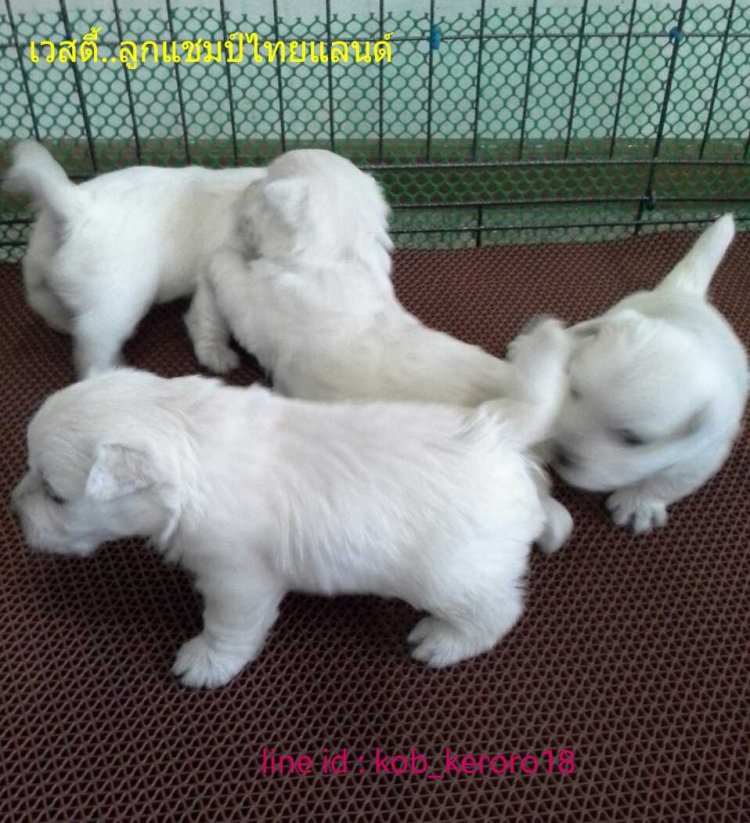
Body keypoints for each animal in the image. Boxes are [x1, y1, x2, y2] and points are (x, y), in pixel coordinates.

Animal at [5, 141, 265, 377]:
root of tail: (76, 209)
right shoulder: (217, 269)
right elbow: (211, 319)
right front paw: (218, 355)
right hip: (117, 301)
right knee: (94, 344)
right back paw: (110, 373)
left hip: (40, 279)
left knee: (50, 309)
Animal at [13, 319, 570, 689]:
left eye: (57, 495)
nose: (15, 511)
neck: (187, 436)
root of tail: (499, 432)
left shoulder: (237, 579)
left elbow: (227, 627)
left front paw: (204, 662)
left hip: (452, 576)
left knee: (496, 611)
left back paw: (442, 640)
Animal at [550, 215, 748, 533]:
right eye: (574, 391)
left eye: (634, 440)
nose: (559, 454)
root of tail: (684, 292)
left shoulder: (703, 452)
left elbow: (668, 480)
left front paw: (637, 504)